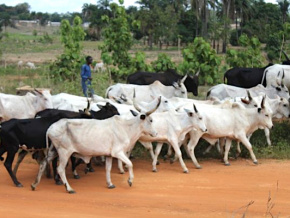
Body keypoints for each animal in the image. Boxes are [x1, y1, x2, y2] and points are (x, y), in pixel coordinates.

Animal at [31, 99, 161, 192]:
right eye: (150, 120)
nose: (155, 133)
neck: (126, 128)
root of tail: (51, 127)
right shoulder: (118, 152)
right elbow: (130, 164)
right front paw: (130, 181)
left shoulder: (109, 155)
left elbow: (108, 169)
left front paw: (110, 184)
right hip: (64, 152)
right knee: (60, 169)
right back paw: (69, 188)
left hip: (53, 150)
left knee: (43, 163)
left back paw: (34, 184)